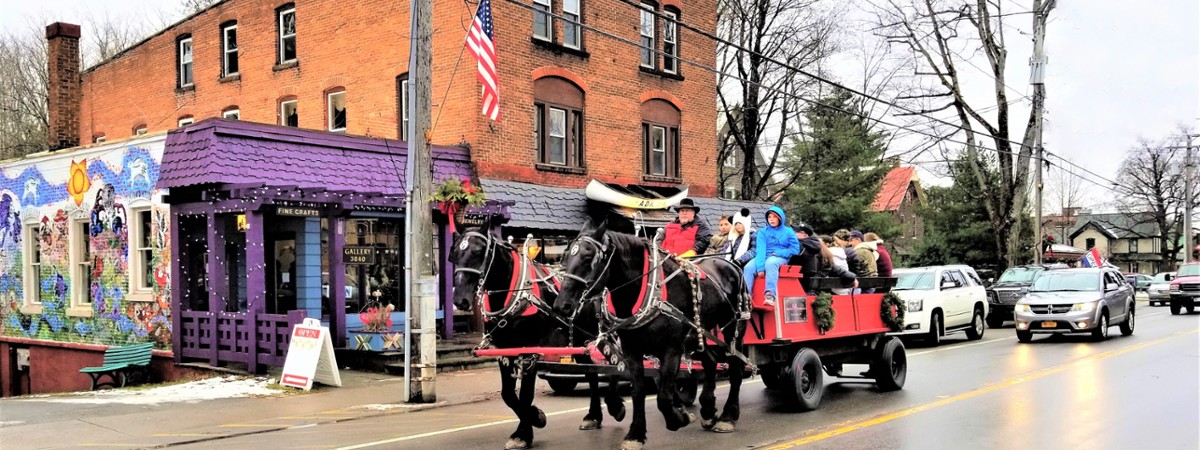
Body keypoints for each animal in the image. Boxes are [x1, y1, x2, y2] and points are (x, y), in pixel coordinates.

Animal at [451, 224, 628, 448]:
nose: (460, 300)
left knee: (616, 364)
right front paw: (535, 416)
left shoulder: (529, 351)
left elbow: (525, 395)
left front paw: (524, 433)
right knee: (592, 373)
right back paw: (593, 416)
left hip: (602, 333)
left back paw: (615, 405)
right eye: (454, 254)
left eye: (478, 251)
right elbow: (508, 395)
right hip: (582, 341)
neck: (516, 294)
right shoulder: (504, 351)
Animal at [554, 222, 748, 450]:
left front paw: (678, 418)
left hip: (734, 327)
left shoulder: (671, 350)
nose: (562, 305)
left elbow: (663, 395)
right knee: (710, 361)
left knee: (735, 368)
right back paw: (708, 410)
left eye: (587, 257)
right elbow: (638, 391)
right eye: (565, 257)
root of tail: (729, 264)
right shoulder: (631, 350)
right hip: (697, 333)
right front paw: (635, 434)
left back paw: (728, 416)